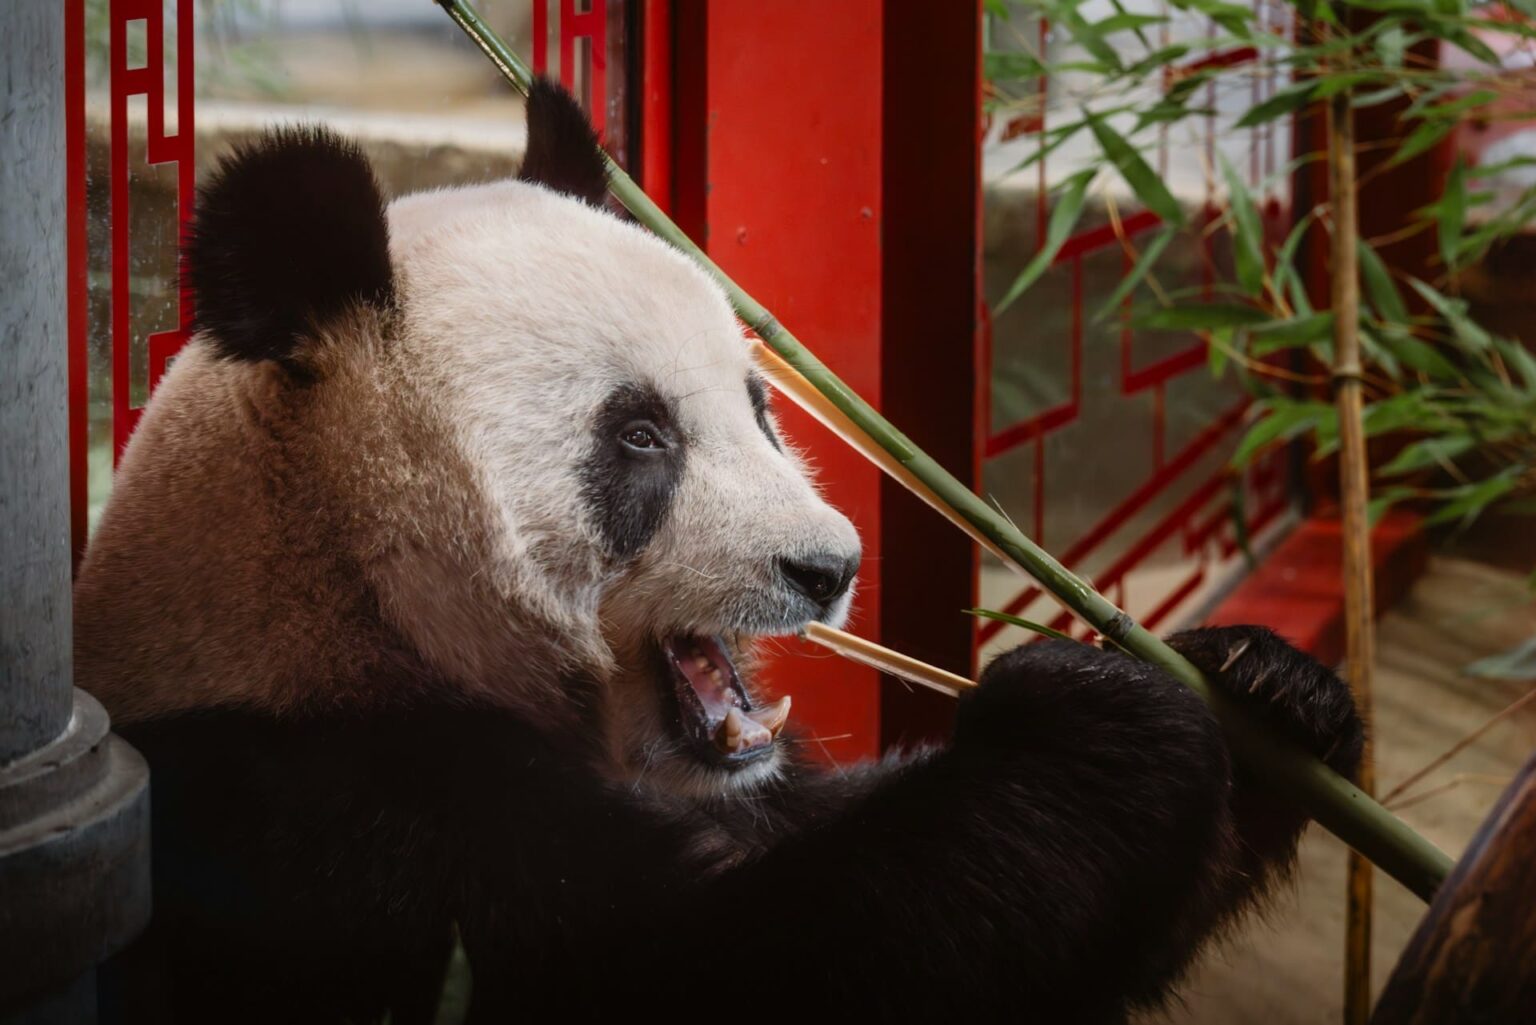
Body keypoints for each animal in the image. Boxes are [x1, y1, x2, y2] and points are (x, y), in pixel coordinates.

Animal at [78, 81, 1362, 1024]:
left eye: (759, 405)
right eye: (641, 436)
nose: (828, 567)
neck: (339, 601)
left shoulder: (744, 784)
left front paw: (1263, 685)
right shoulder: (331, 819)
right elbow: (726, 961)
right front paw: (1093, 718)